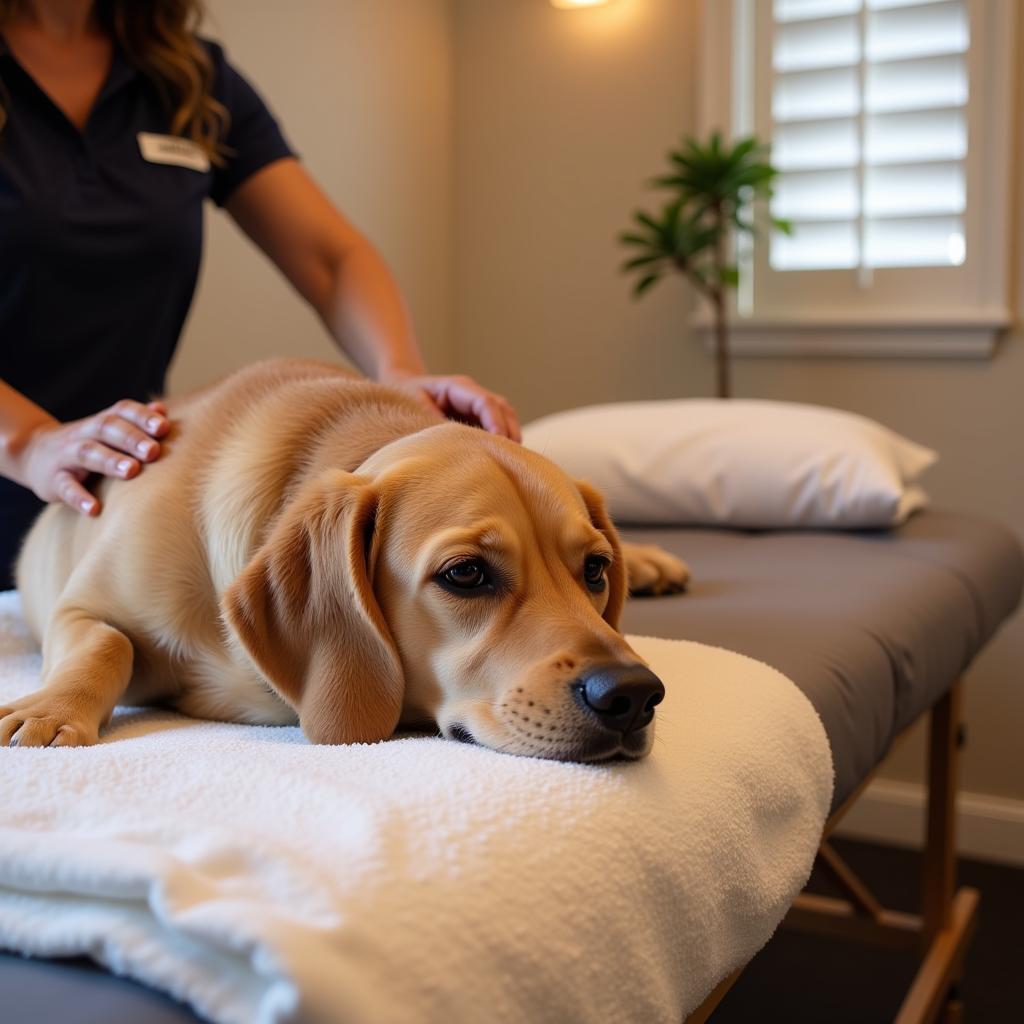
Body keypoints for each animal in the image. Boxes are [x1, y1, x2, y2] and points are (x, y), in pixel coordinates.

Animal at [2, 360, 688, 761]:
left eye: (594, 570)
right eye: (466, 574)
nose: (634, 694)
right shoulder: (80, 606)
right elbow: (107, 644)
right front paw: (51, 710)